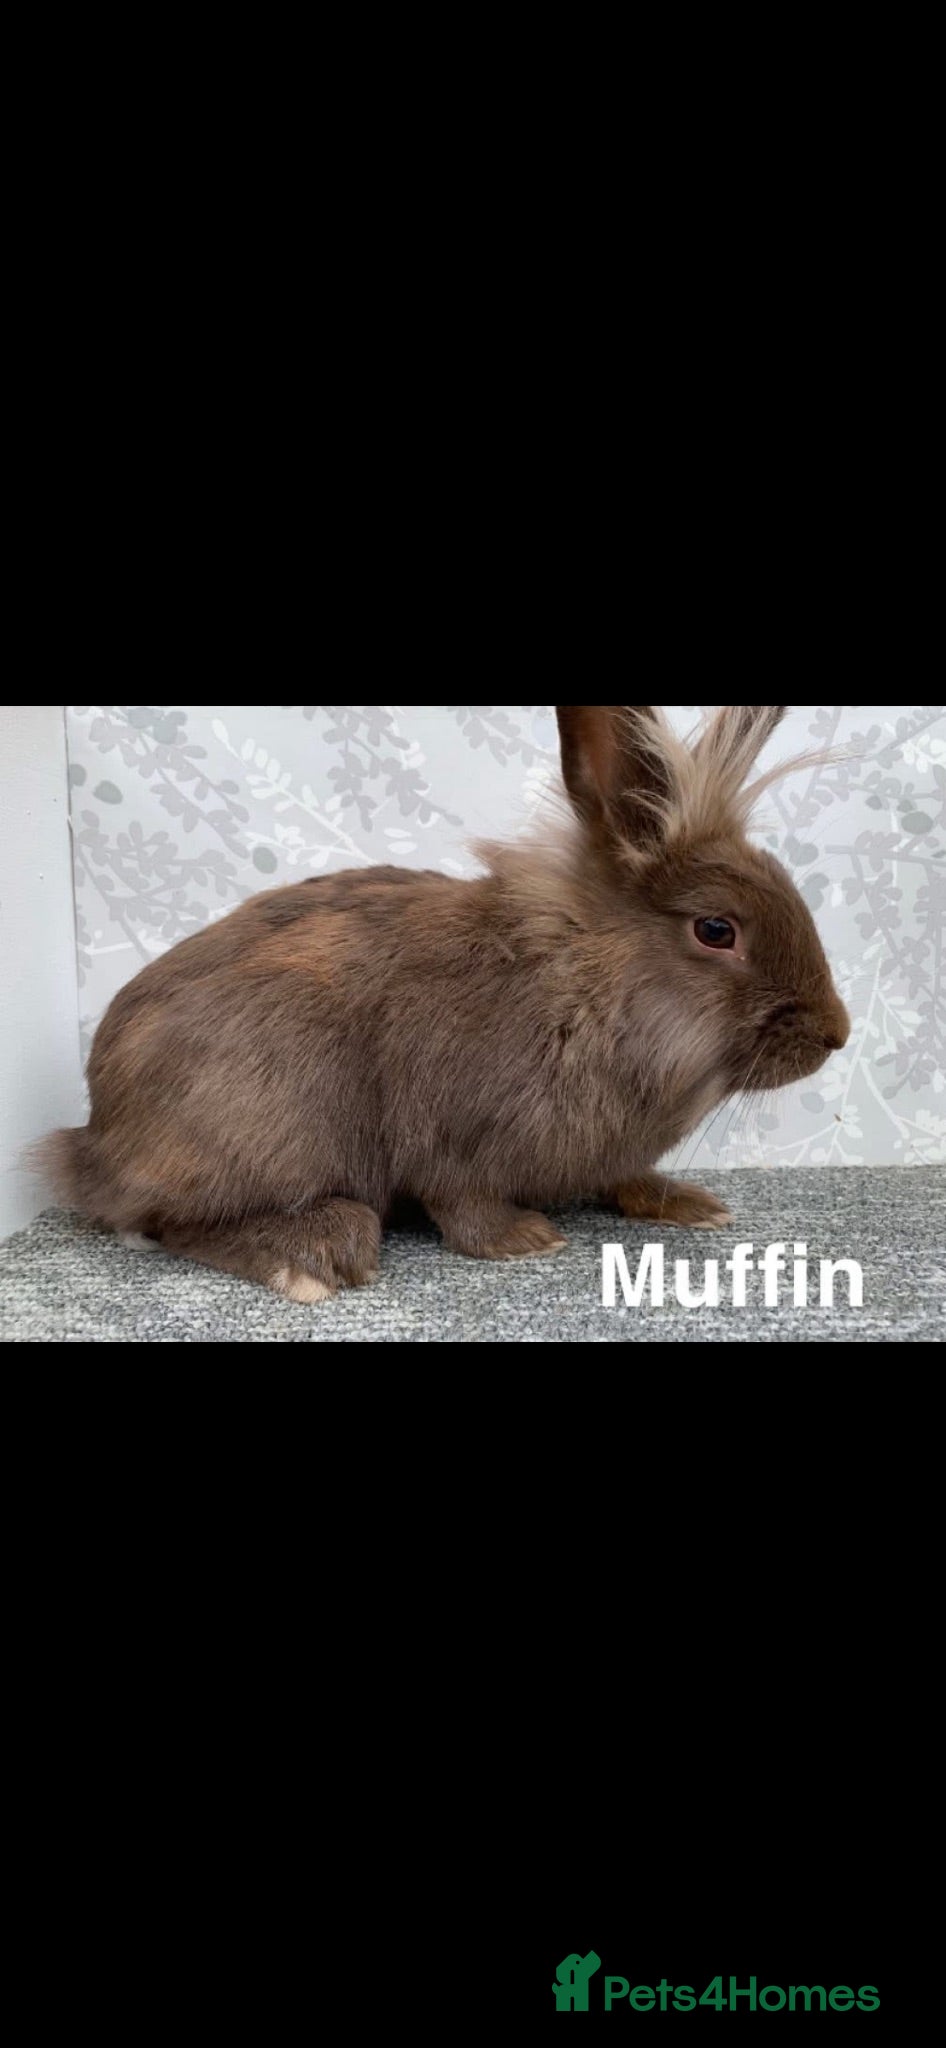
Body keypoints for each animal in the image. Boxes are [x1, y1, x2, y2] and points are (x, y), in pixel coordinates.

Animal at [43, 705, 850, 1301]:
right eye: (716, 929)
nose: (836, 1034)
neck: (585, 984)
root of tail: (94, 1143)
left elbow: (625, 1178)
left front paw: (693, 1205)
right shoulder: (451, 1137)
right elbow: (462, 1200)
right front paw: (524, 1241)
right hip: (267, 1128)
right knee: (171, 1224)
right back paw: (312, 1254)